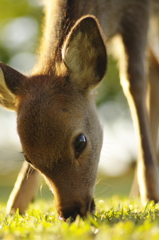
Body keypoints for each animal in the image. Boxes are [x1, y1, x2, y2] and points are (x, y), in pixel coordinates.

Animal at [0, 0, 158, 220]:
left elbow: (133, 79)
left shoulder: (139, 12)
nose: (70, 213)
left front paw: (151, 195)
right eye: (28, 158)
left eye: (80, 142)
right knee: (155, 66)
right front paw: (15, 205)